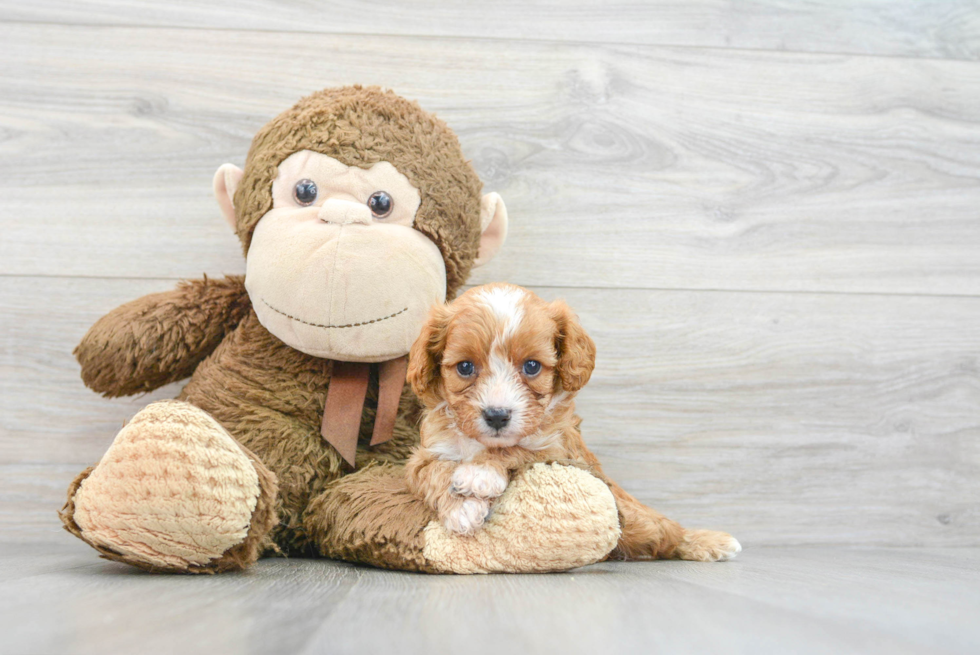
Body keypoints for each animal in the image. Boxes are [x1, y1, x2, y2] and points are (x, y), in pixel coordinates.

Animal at [402, 284, 740, 564]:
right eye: (465, 367)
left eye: (532, 366)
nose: (497, 415)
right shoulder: (424, 454)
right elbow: (433, 472)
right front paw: (461, 509)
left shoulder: (559, 449)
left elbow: (517, 449)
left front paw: (480, 474)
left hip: (636, 516)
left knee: (668, 533)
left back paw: (707, 542)